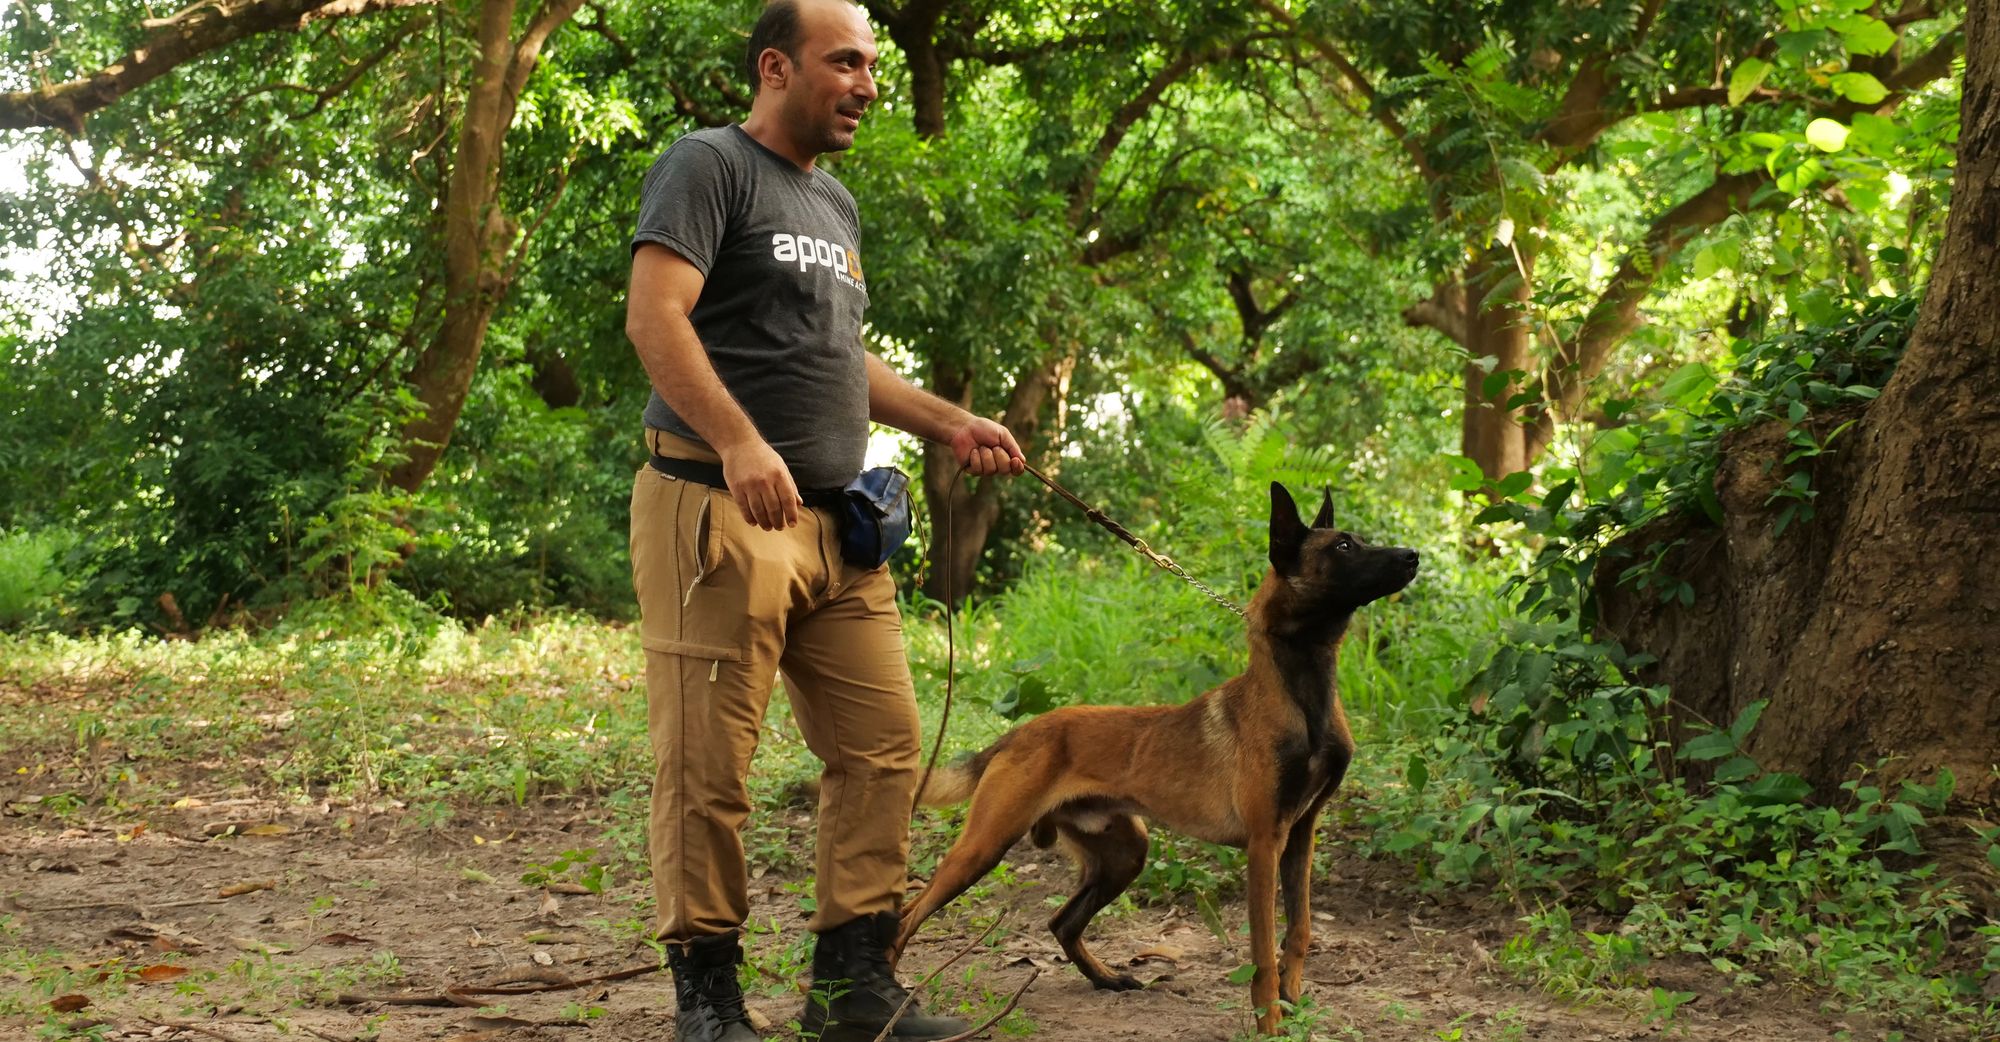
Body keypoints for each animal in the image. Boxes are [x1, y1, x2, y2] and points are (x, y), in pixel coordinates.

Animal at [892, 482, 1424, 1032]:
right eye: (1343, 546)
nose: (1412, 556)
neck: (1302, 695)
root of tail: (1017, 734)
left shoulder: (1301, 834)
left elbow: (1299, 931)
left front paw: (1293, 1008)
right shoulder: (1264, 844)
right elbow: (1262, 957)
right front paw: (1270, 1024)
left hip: (1126, 852)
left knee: (1061, 921)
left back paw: (1107, 979)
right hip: (984, 847)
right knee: (907, 919)